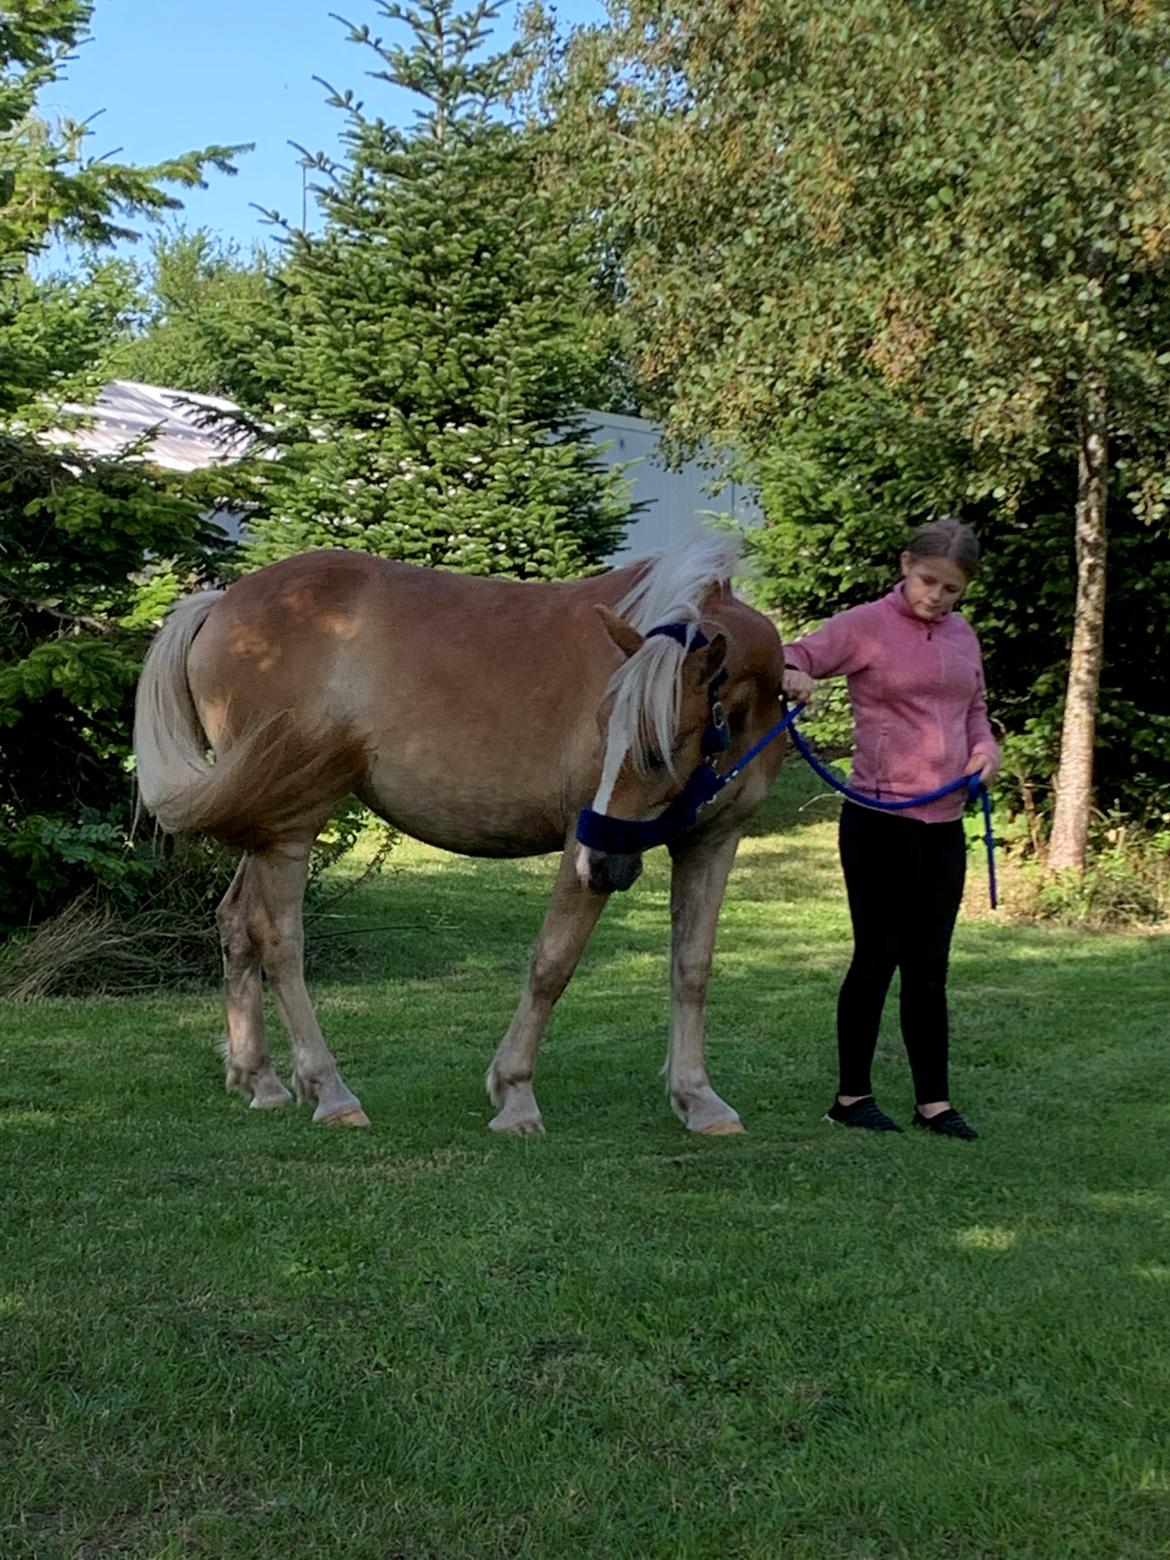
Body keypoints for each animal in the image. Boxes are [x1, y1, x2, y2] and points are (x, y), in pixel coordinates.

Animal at [134, 527, 789, 1135]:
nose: (602, 866)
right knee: (278, 939)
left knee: (236, 921)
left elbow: (692, 967)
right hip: (291, 823)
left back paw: (260, 1079)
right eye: (604, 726)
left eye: (655, 751)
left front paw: (698, 1098)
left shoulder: (711, 843)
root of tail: (221, 604)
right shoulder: (578, 844)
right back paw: (330, 1090)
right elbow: (553, 964)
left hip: (267, 817)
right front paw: (516, 1094)